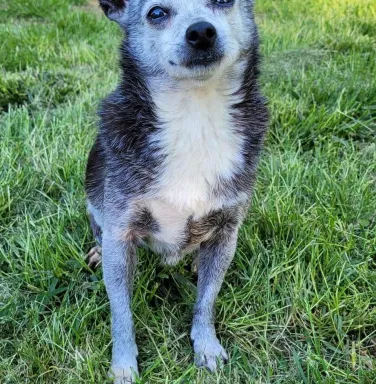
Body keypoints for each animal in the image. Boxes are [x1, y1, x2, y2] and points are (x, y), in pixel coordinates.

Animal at [85, 0, 268, 380]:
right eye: (156, 13)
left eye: (224, 1)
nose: (201, 32)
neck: (195, 116)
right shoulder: (121, 234)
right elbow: (121, 312)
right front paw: (123, 365)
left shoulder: (227, 230)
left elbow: (206, 300)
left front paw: (206, 345)